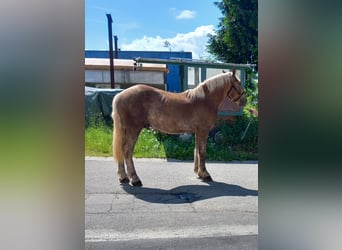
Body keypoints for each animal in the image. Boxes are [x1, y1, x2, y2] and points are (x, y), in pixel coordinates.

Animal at [111, 69, 246, 187]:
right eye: (238, 83)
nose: (244, 101)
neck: (205, 100)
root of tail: (119, 95)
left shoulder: (198, 131)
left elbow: (196, 150)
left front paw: (199, 173)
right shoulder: (203, 130)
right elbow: (202, 152)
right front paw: (205, 174)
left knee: (121, 150)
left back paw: (123, 177)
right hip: (133, 130)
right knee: (127, 151)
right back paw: (135, 179)